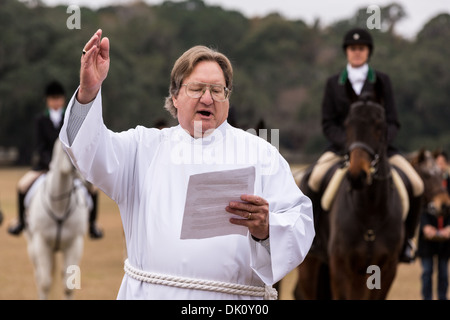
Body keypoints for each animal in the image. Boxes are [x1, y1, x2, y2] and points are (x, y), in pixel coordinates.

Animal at [25, 140, 90, 300]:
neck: (59, 206)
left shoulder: (75, 243)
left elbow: (68, 285)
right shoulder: (41, 243)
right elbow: (44, 283)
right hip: (32, 246)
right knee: (39, 277)